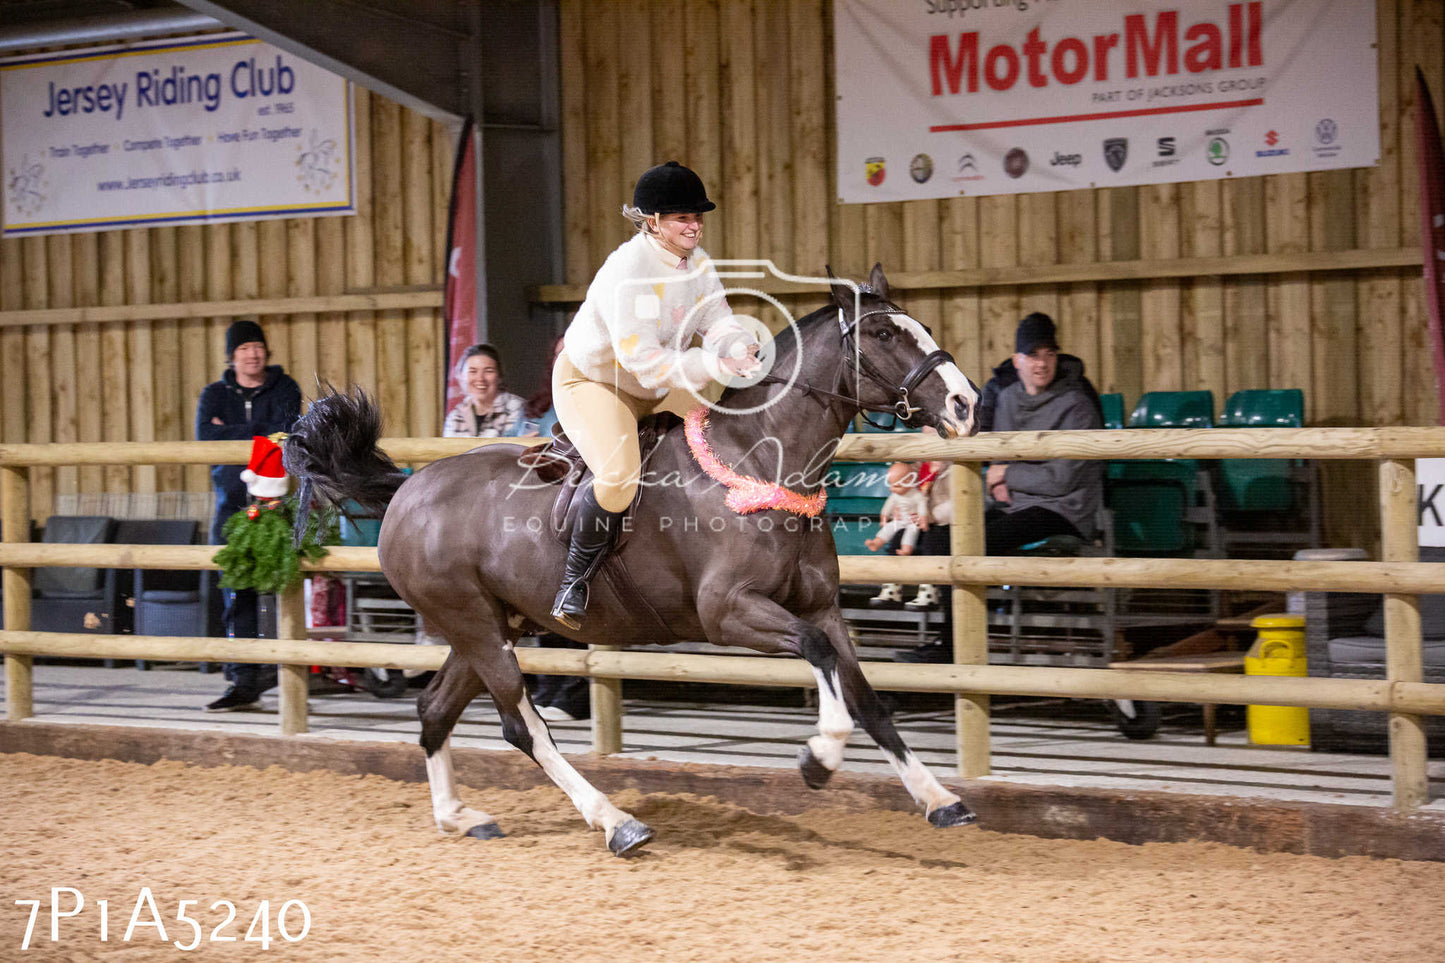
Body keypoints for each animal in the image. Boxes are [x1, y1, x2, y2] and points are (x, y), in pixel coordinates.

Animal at [281, 264, 982, 856]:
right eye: (885, 333)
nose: (965, 403)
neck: (760, 457)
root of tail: (405, 491)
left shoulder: (823, 607)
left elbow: (866, 698)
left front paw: (939, 800)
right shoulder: (729, 611)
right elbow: (817, 657)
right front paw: (819, 757)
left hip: (485, 625)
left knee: (434, 712)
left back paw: (459, 816)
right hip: (475, 625)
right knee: (521, 726)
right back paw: (616, 822)